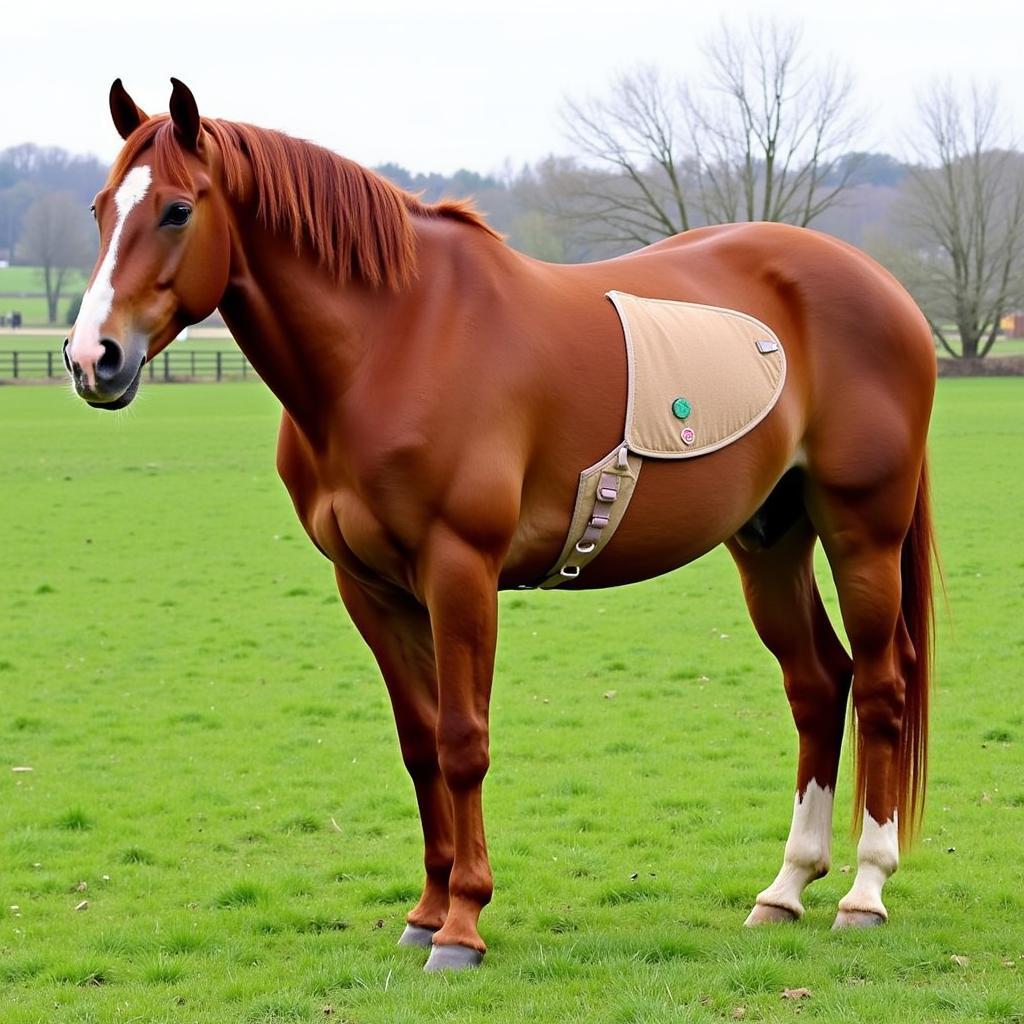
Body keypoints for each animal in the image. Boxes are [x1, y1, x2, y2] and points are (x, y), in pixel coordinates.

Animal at [66, 79, 937, 966]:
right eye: (102, 207)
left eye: (177, 210)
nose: (92, 358)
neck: (394, 341)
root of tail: (882, 286)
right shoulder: (371, 589)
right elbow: (419, 748)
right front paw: (425, 911)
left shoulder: (460, 571)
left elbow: (462, 741)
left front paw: (463, 923)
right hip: (769, 540)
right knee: (818, 684)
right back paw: (786, 889)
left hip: (862, 531)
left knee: (882, 685)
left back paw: (864, 892)